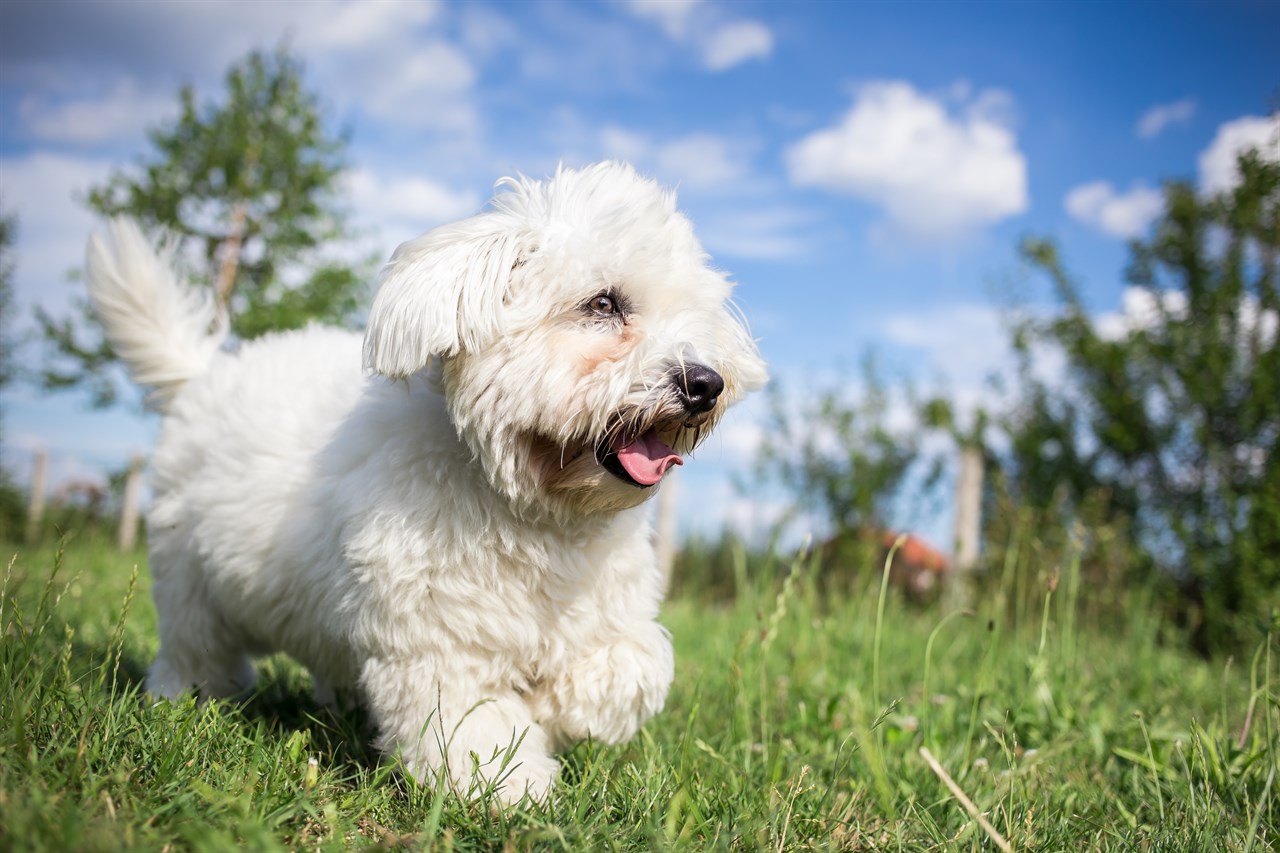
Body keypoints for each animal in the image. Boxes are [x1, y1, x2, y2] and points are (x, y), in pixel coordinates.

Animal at [90, 161, 768, 804]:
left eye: (694, 315)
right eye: (603, 304)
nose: (705, 383)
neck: (533, 508)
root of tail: (205, 374)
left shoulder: (609, 609)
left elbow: (634, 667)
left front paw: (562, 706)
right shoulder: (440, 642)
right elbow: (475, 727)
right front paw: (510, 791)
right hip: (189, 580)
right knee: (194, 648)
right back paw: (184, 701)